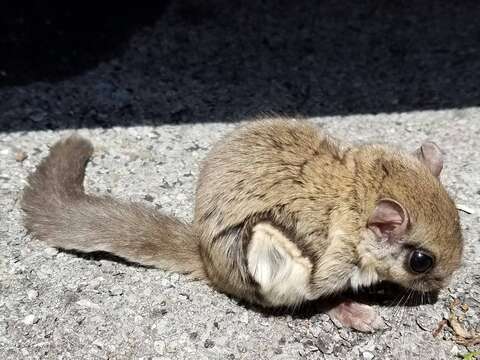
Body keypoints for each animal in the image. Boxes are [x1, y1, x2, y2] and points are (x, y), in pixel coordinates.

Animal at [21, 119, 462, 334]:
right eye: (421, 260)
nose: (441, 289)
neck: (358, 201)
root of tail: (206, 257)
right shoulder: (332, 263)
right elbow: (323, 294)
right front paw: (360, 305)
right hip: (268, 252)